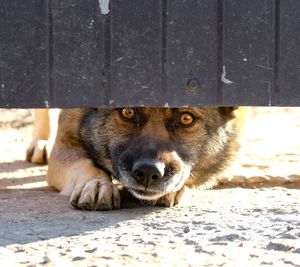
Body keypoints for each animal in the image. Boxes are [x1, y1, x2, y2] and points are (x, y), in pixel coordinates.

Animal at [27, 108, 240, 210]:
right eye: (127, 112)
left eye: (186, 119)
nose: (148, 173)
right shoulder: (65, 146)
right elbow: (85, 165)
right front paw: (96, 184)